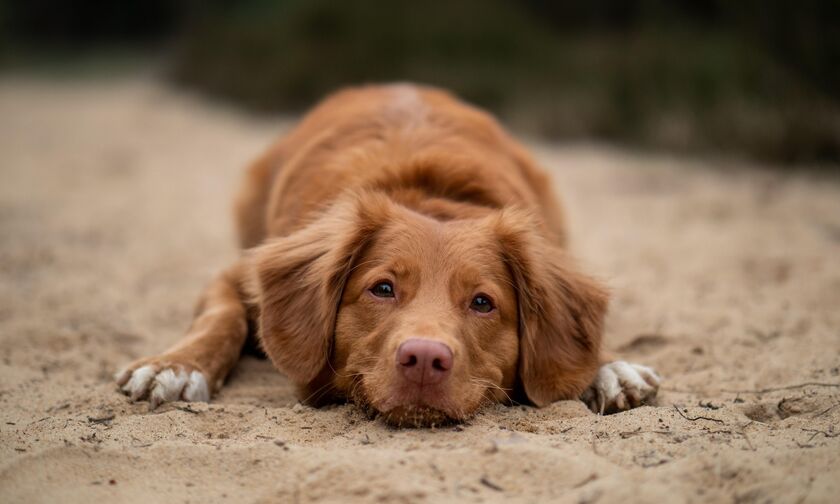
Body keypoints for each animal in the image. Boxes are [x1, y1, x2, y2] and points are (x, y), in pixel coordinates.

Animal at [115, 82, 660, 426]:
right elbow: (221, 318)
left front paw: (608, 366)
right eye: (382, 288)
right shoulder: (238, 273)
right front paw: (176, 365)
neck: (427, 195)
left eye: (483, 303)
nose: (424, 359)